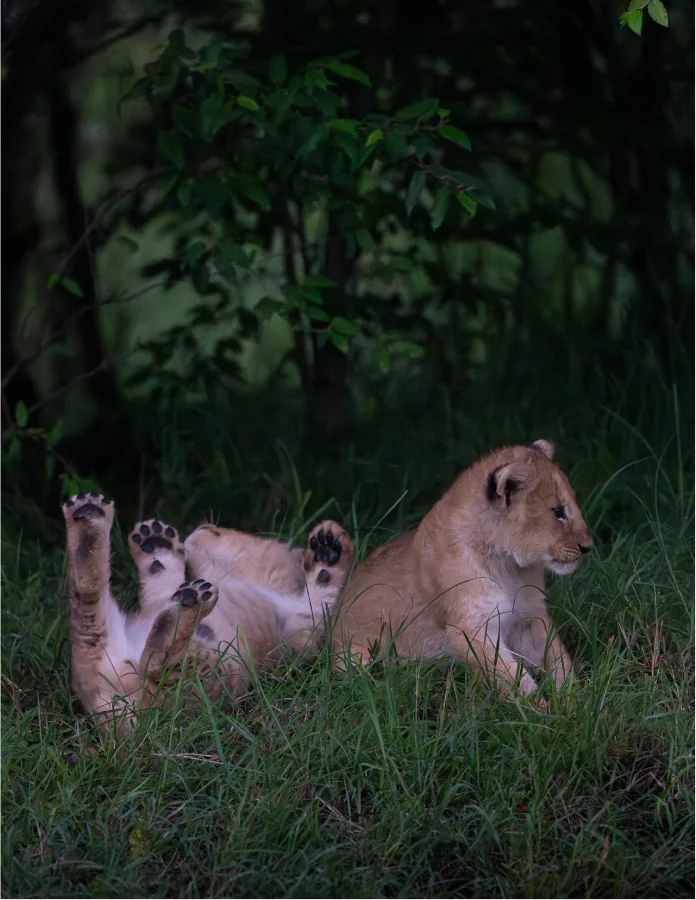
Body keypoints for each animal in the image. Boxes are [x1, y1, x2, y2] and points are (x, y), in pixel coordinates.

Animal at [61, 493, 355, 734]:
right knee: (88, 588)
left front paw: (329, 551)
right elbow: (161, 579)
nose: (205, 525)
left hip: (214, 675)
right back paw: (89, 514)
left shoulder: (301, 635)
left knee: (155, 662)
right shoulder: (159, 598)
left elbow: (326, 594)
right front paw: (155, 544)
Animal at [331, 440, 592, 698]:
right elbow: (513, 681)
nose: (588, 547)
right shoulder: (470, 630)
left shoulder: (529, 616)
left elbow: (558, 661)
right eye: (558, 512)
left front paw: (574, 700)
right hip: (355, 658)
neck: (509, 567)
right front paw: (540, 708)